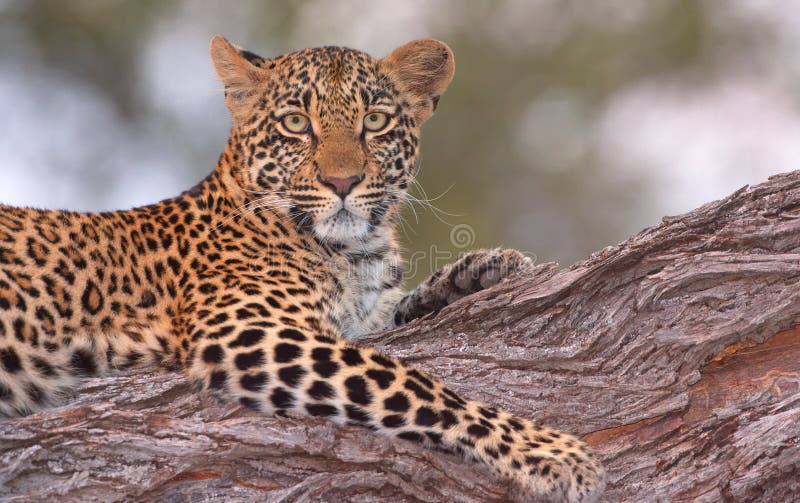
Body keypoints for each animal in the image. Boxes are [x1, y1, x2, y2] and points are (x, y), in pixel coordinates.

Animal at [0, 36, 604, 503]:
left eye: (374, 121)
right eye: (296, 123)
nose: (343, 183)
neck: (357, 250)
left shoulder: (355, 317)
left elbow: (398, 311)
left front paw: (484, 269)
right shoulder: (248, 329)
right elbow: (410, 381)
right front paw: (550, 453)